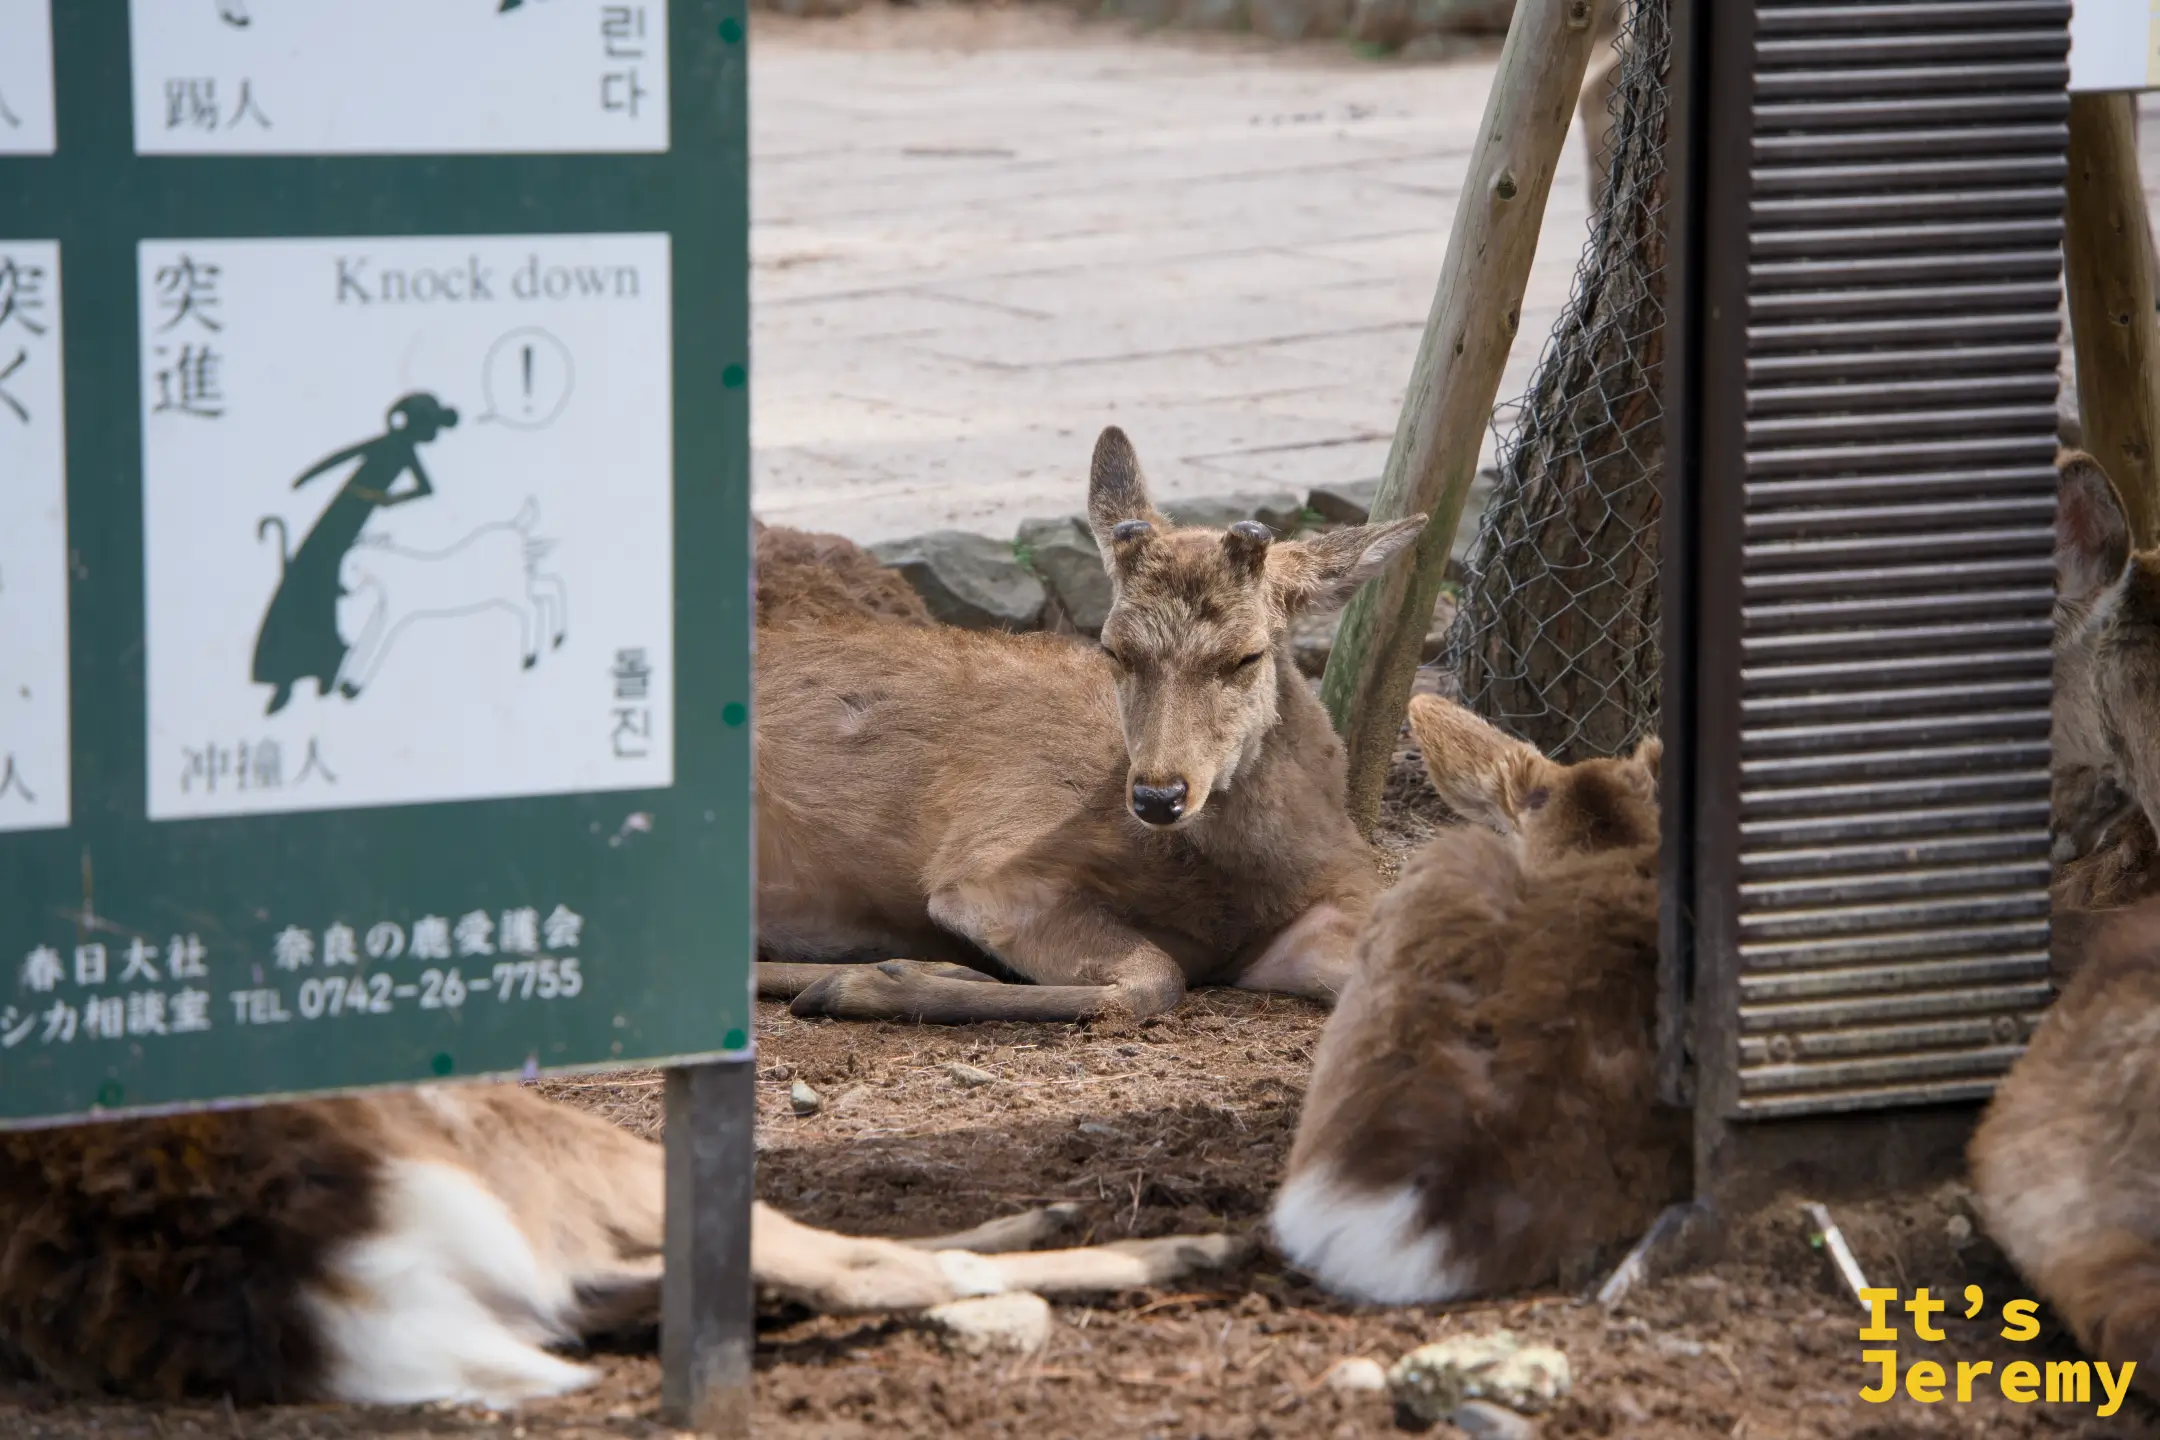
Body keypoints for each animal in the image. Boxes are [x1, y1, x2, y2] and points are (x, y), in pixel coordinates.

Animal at [752, 425, 1428, 1026]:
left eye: (1248, 654)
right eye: (1113, 648)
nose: (1158, 795)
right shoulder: (989, 871)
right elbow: (1154, 978)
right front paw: (874, 980)